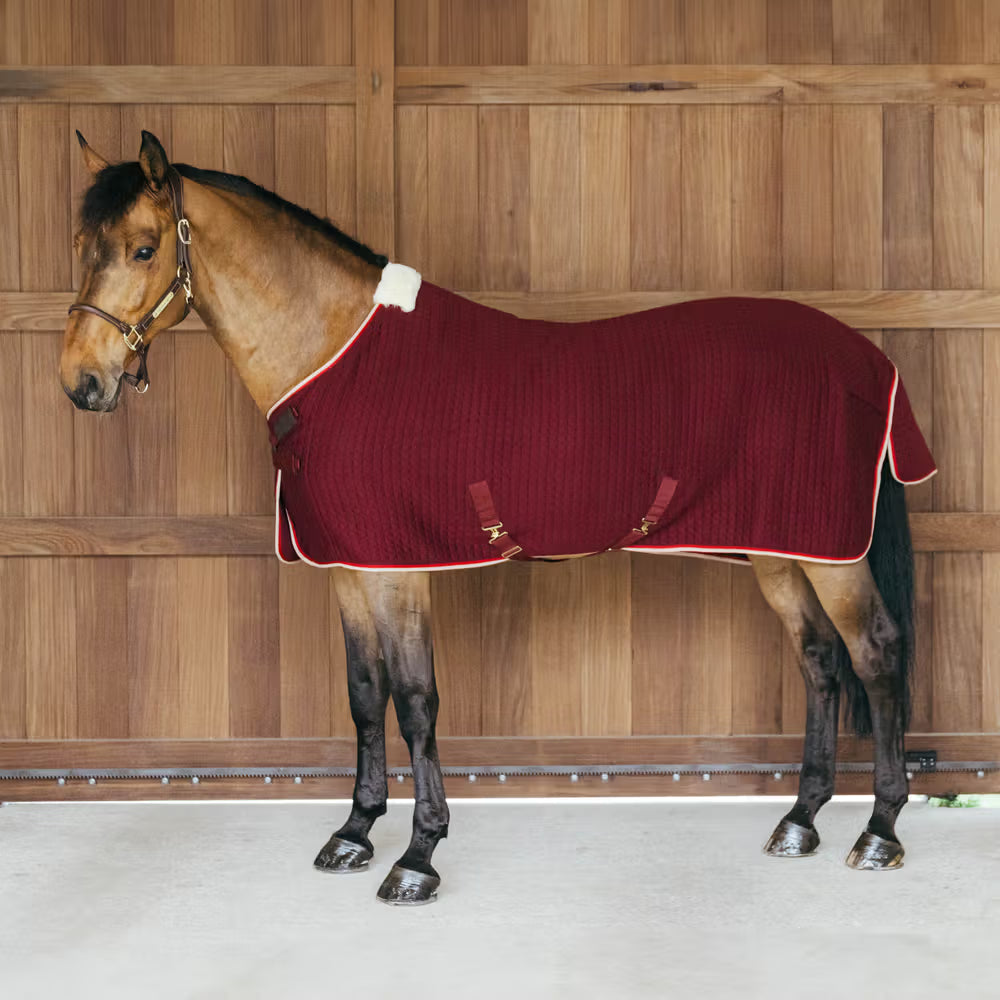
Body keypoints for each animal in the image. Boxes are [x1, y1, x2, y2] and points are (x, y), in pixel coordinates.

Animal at [60, 131, 936, 905]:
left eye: (144, 249)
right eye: (81, 244)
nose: (81, 382)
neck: (337, 355)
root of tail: (868, 358)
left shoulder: (398, 570)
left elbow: (415, 701)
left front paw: (417, 859)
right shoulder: (348, 567)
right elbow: (363, 692)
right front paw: (353, 832)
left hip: (828, 553)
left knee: (876, 655)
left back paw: (879, 832)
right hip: (779, 548)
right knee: (820, 660)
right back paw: (800, 821)